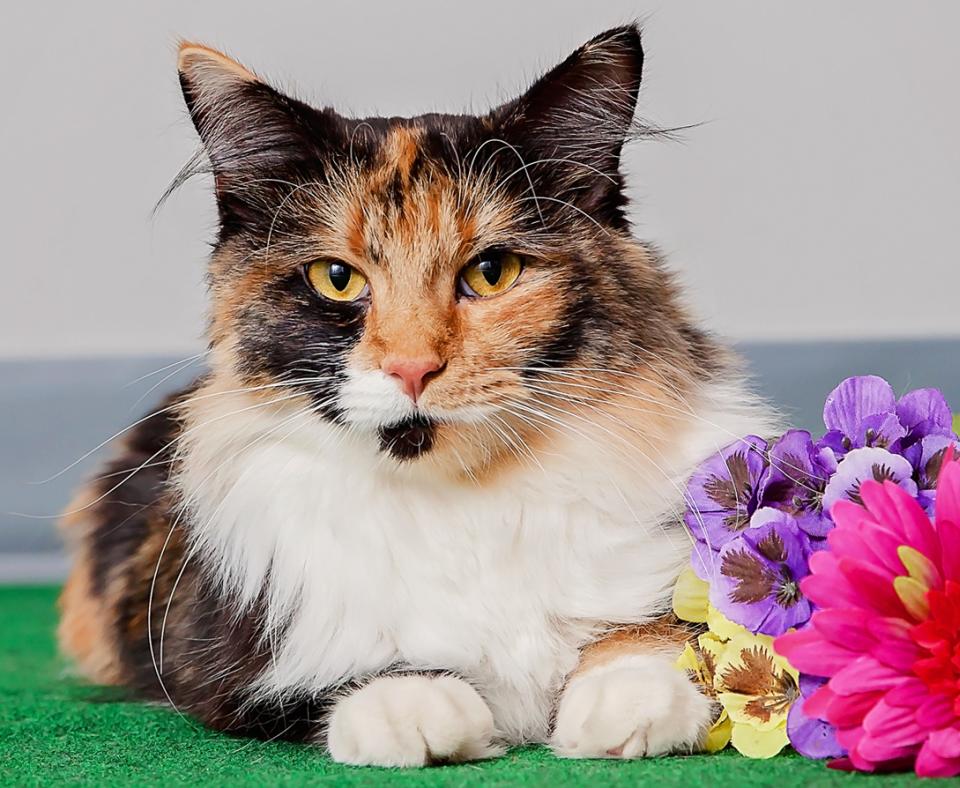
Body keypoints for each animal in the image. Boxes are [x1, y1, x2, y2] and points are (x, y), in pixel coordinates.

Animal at [60, 23, 776, 764]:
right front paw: (414, 708)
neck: (460, 505)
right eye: (337, 279)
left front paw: (628, 699)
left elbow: (663, 631)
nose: (412, 369)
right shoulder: (212, 647)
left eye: (492, 272)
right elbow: (346, 666)